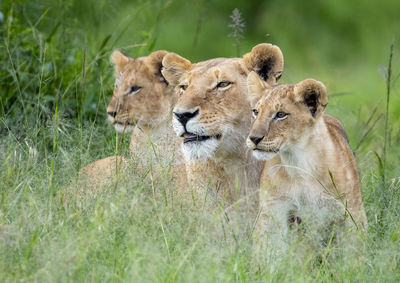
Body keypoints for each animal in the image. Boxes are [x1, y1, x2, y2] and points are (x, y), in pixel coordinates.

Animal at [245, 72, 368, 252]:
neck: (298, 162)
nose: (254, 138)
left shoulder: (351, 210)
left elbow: (353, 249)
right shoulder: (273, 209)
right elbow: (267, 249)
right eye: (255, 112)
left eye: (280, 115)